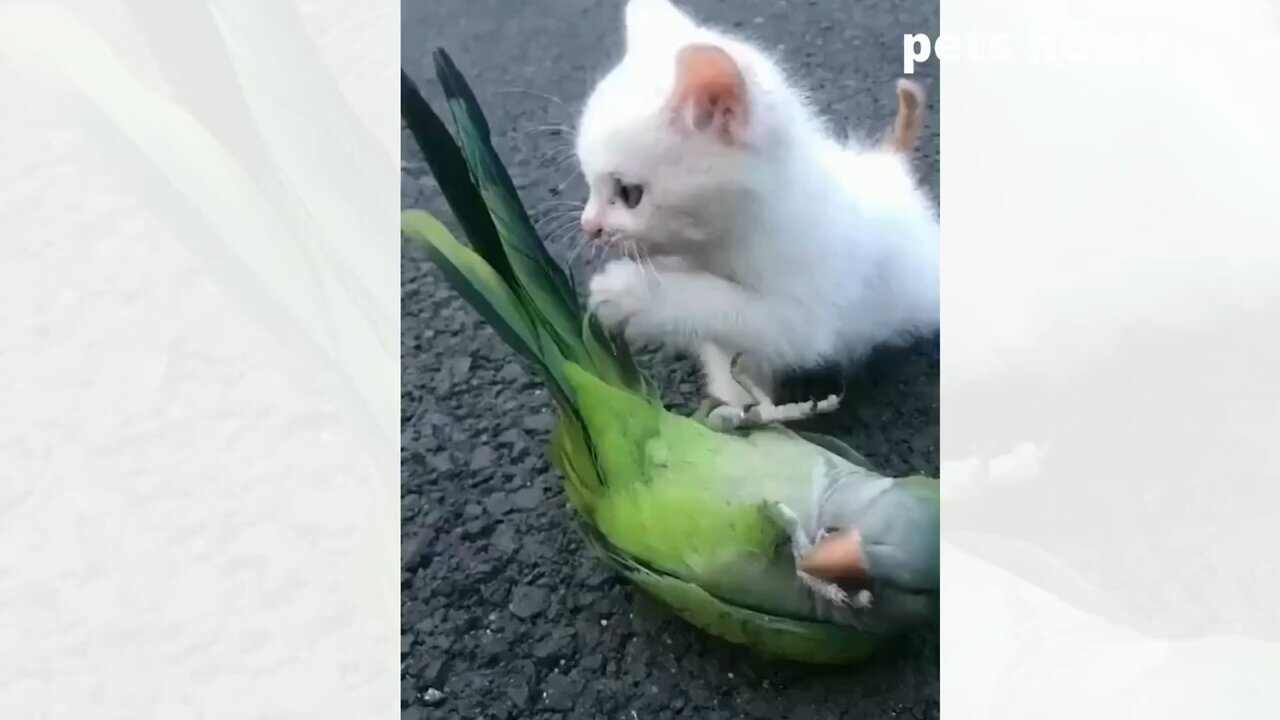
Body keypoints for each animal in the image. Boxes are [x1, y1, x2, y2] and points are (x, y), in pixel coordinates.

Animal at [576, 0, 939, 411]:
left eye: (628, 193)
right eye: (589, 182)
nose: (588, 226)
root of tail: (888, 164)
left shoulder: (806, 316)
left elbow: (722, 304)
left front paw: (630, 293)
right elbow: (729, 358)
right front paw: (736, 409)